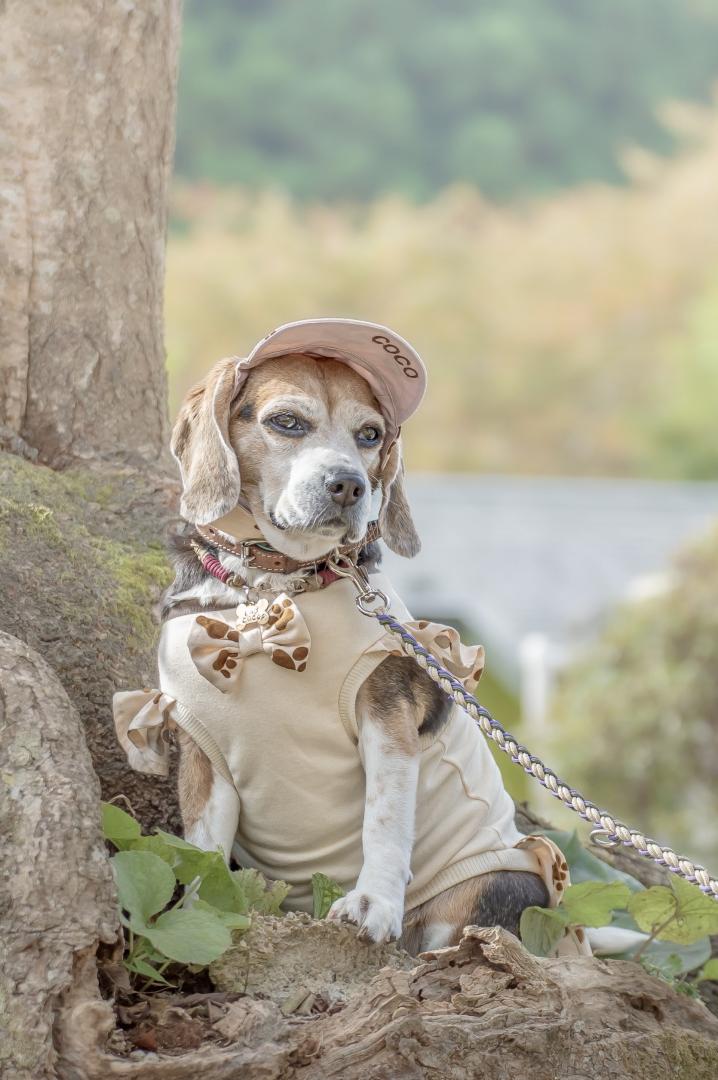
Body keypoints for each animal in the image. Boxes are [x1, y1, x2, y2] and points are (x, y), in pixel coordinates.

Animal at [117, 317, 578, 954]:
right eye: (287, 421)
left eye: (370, 434)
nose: (349, 485)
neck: (271, 597)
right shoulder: (201, 751)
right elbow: (203, 853)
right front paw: (196, 919)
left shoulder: (385, 719)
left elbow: (382, 822)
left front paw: (372, 905)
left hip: (502, 876)